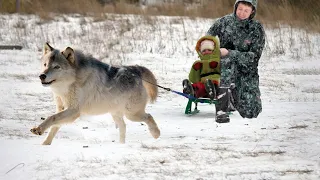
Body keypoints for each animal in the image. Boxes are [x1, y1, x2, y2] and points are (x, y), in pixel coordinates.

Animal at [30, 43, 160, 145]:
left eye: (57, 67)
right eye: (45, 65)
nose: (42, 76)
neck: (69, 83)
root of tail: (135, 70)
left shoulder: (73, 111)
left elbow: (52, 118)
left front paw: (38, 129)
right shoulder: (61, 108)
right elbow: (54, 126)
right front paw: (45, 144)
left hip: (132, 114)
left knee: (149, 116)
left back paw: (156, 134)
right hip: (116, 114)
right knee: (123, 127)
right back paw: (121, 145)